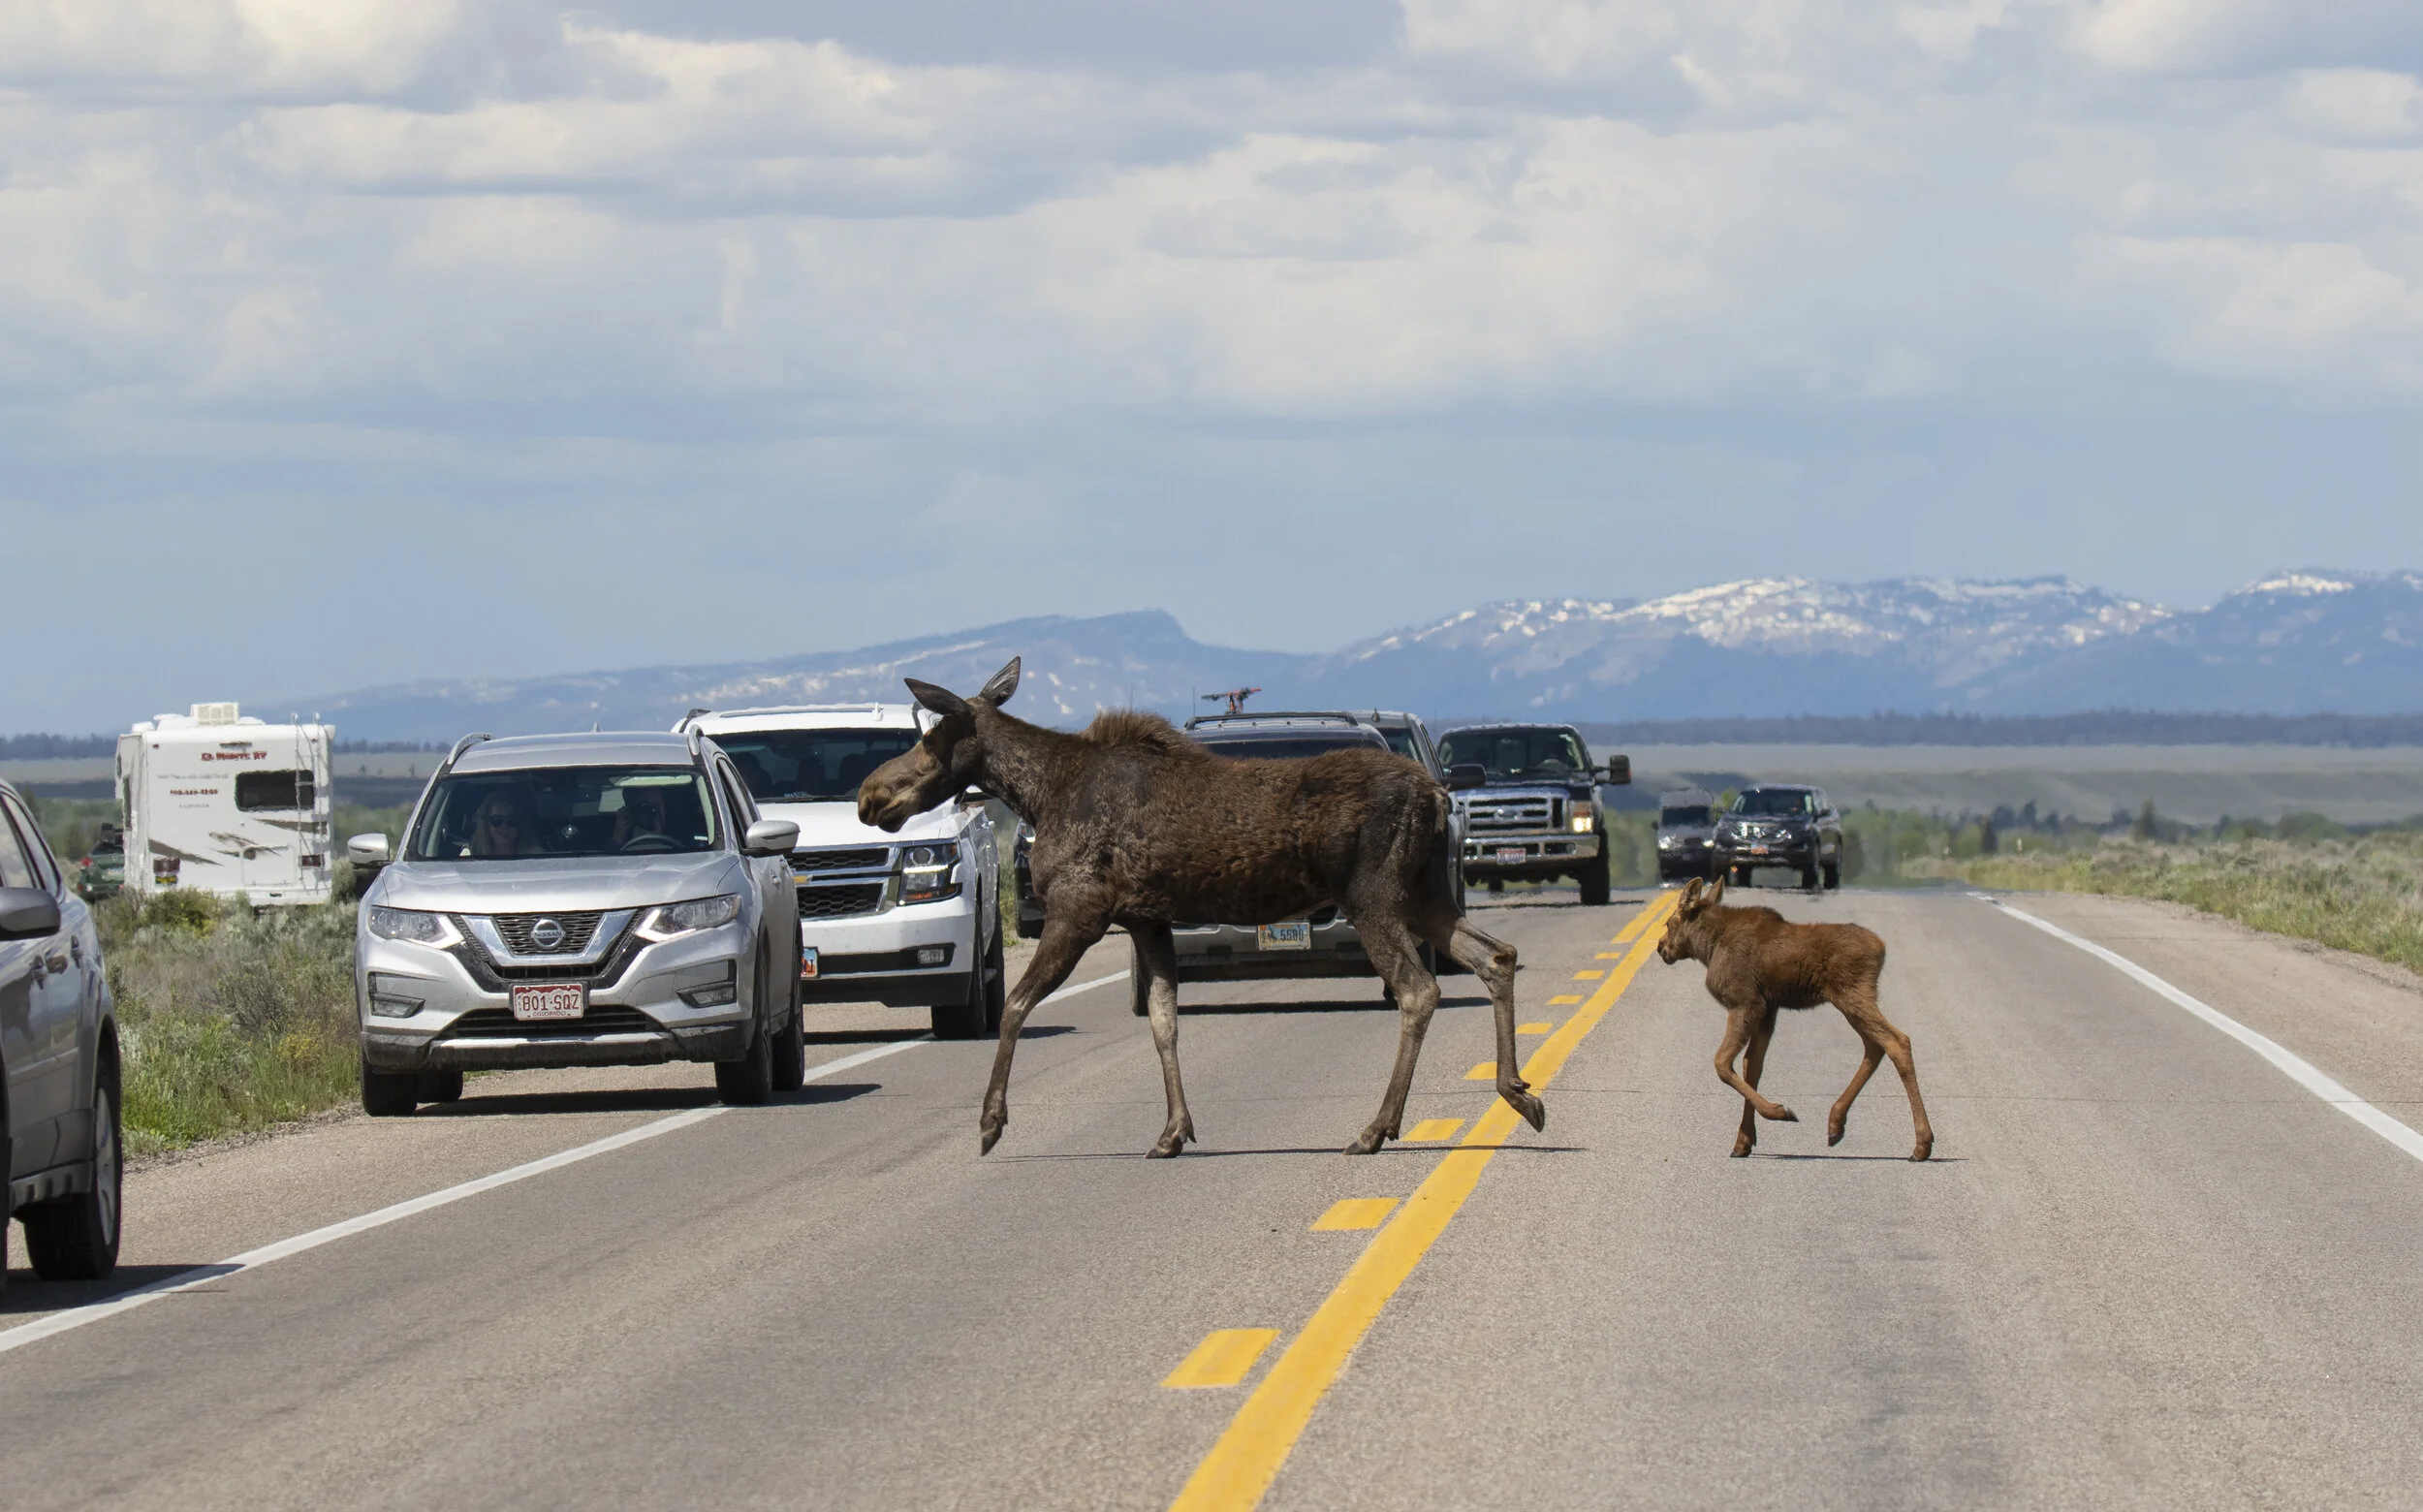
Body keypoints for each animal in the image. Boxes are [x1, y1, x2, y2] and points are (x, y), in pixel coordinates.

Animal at [854, 657, 1541, 1159]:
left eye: (932, 739)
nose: (870, 795)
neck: (1037, 794)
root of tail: (1438, 792)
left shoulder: (1080, 909)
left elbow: (1015, 1007)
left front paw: (991, 1122)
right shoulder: (1146, 919)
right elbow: (1164, 1021)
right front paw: (1172, 1132)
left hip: (1374, 896)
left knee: (1419, 989)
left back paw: (1378, 1127)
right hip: (1424, 896)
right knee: (1496, 956)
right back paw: (1518, 1092)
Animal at [1657, 877, 1933, 1161]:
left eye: (1668, 923)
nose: (1660, 947)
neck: (1708, 947)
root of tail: (1882, 948)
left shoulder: (1745, 1002)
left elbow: (1722, 1063)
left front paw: (1779, 1112)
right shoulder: (1768, 1010)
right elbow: (1751, 1067)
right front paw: (1743, 1141)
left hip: (1852, 994)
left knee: (1897, 1041)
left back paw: (1922, 1144)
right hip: (1852, 1000)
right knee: (1875, 1046)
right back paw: (1836, 1124)